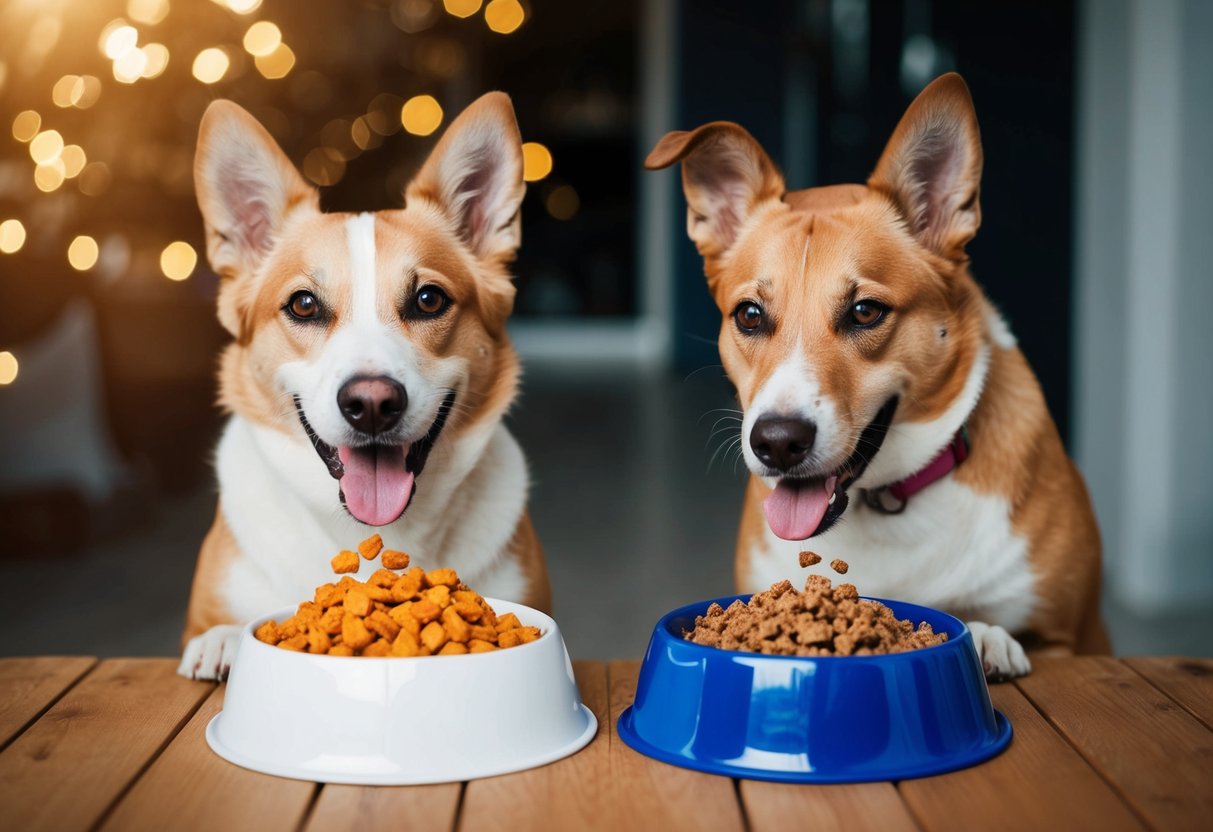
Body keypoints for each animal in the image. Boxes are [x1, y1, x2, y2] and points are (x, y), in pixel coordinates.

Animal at [645, 74, 1111, 679]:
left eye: (865, 312)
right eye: (748, 315)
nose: (777, 443)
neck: (883, 503)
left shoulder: (1069, 638)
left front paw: (987, 639)